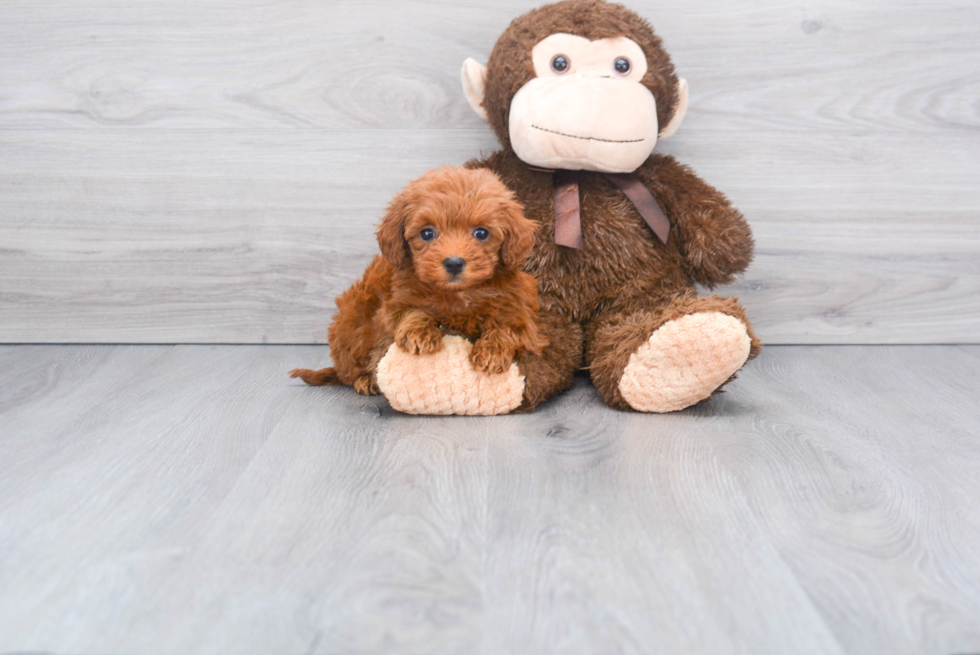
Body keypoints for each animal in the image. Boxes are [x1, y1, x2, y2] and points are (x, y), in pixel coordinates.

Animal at [290, 167, 552, 398]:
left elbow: (508, 325)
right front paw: (420, 333)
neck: (457, 294)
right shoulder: (393, 303)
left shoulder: (519, 307)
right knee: (349, 370)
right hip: (351, 325)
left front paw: (493, 351)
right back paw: (365, 380)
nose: (454, 263)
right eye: (427, 233)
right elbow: (411, 309)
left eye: (481, 233)